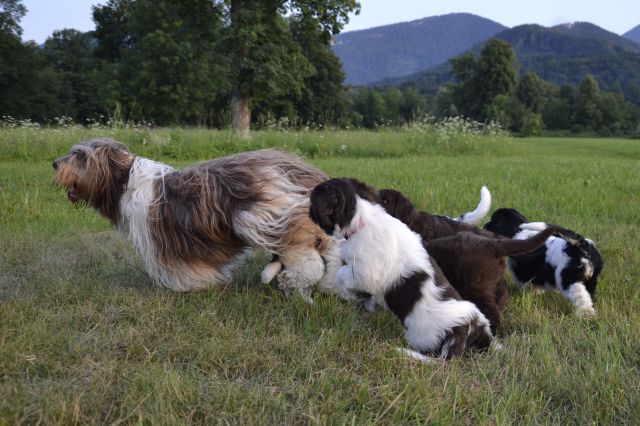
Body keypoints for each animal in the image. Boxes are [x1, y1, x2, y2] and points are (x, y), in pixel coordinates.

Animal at [53, 138, 332, 298]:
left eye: (80, 156)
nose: (55, 163)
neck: (126, 181)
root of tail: (296, 167)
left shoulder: (165, 239)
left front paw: (189, 285)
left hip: (262, 214)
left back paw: (296, 279)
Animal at [310, 177, 496, 360]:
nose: (309, 207)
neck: (365, 218)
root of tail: (464, 327)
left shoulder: (366, 273)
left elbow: (343, 275)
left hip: (422, 338)